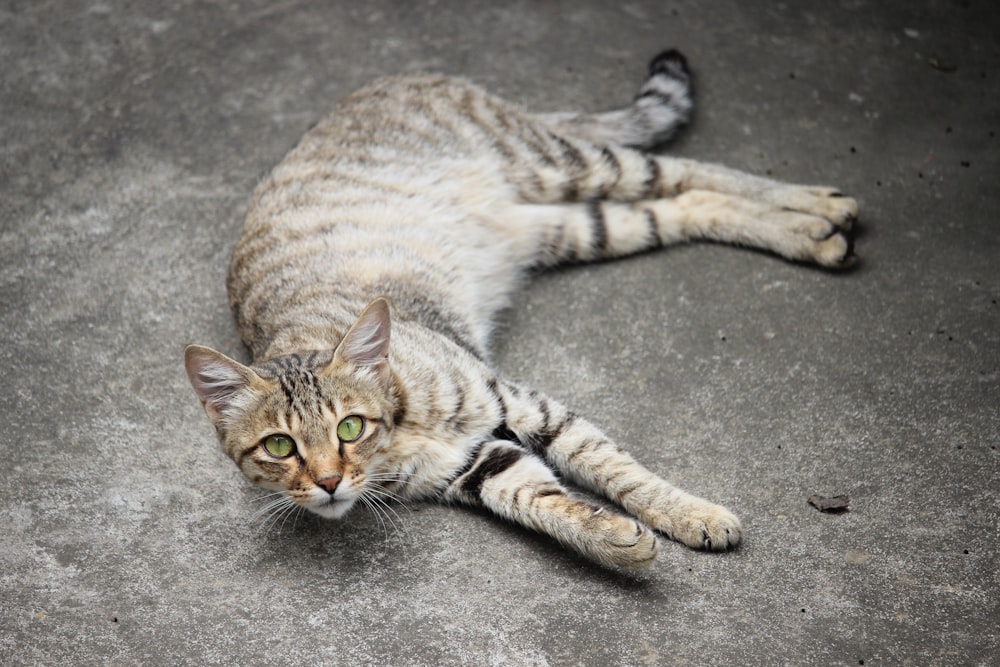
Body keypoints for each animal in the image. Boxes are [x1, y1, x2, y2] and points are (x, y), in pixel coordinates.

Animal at [184, 51, 856, 568]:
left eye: (350, 428)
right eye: (279, 447)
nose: (326, 482)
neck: (398, 432)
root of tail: (396, 77)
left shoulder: (523, 403)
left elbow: (615, 469)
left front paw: (685, 512)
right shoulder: (480, 464)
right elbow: (544, 502)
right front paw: (613, 538)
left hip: (555, 162)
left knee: (686, 170)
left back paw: (820, 206)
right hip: (578, 226)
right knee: (685, 206)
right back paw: (812, 231)